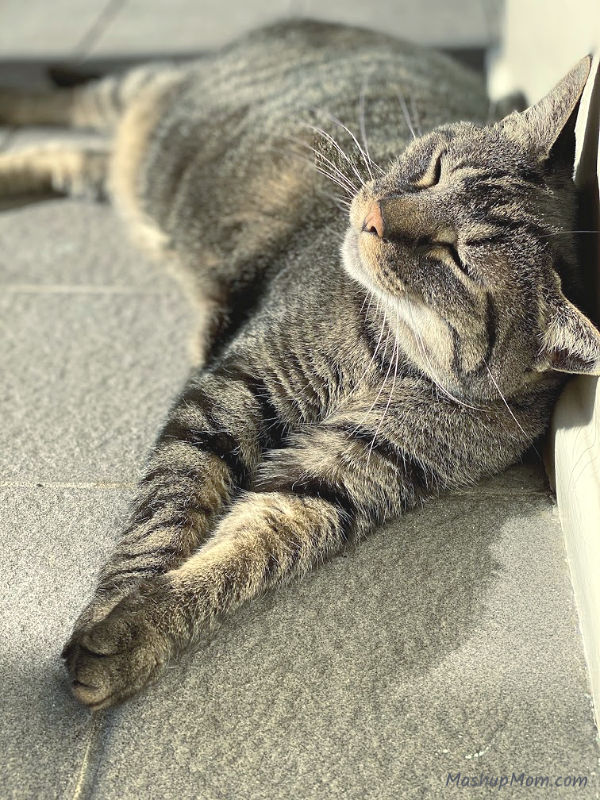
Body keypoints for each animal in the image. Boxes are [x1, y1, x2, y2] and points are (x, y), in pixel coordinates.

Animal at [2, 18, 596, 708]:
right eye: (434, 170)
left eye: (455, 257)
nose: (373, 217)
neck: (389, 355)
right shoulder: (237, 389)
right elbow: (166, 512)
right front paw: (116, 603)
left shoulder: (341, 476)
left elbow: (244, 551)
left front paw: (142, 626)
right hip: (147, 96)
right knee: (74, 103)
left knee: (72, 157)